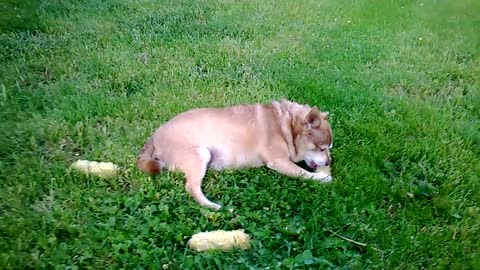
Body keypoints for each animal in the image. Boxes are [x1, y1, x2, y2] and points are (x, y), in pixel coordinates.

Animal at [137, 100, 332, 210]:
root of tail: (154, 136)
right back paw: (214, 206)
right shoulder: (279, 161)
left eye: (330, 148)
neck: (287, 125)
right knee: (191, 187)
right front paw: (322, 178)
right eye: (323, 149)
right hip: (200, 154)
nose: (329, 162)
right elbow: (303, 173)